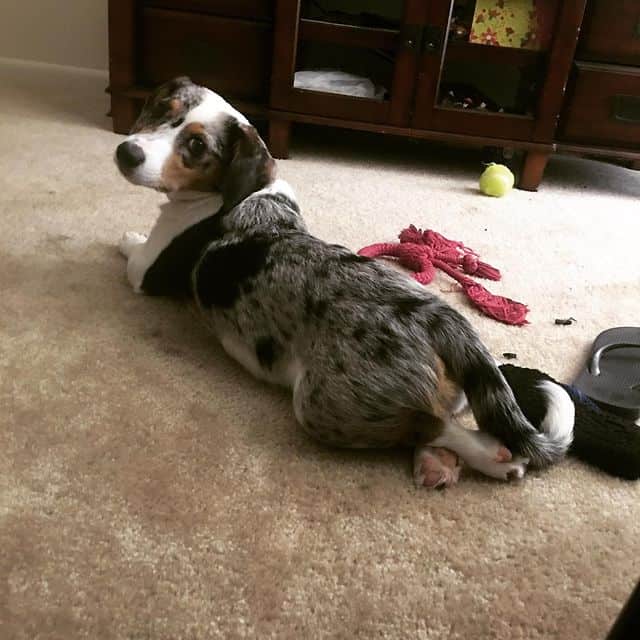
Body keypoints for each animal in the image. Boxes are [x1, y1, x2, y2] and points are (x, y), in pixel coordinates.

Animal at [114, 79, 568, 490]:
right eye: (161, 108)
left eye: (196, 146)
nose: (126, 152)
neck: (244, 192)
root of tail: (438, 317)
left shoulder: (145, 269)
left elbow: (131, 251)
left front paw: (126, 237)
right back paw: (441, 465)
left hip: (325, 405)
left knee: (435, 426)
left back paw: (490, 457)